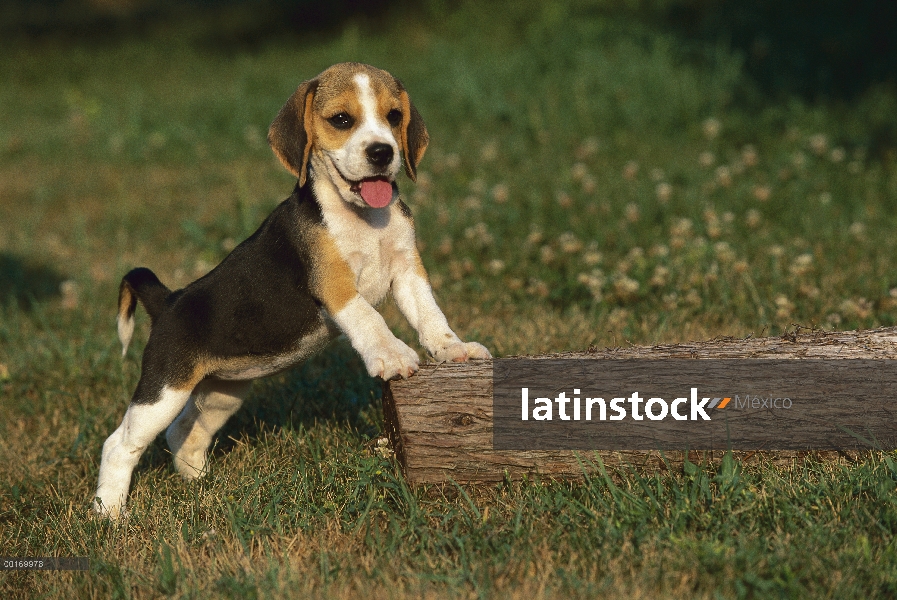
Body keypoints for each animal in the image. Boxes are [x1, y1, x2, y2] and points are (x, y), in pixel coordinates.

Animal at [93, 62, 490, 520]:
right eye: (342, 120)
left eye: (394, 117)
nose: (382, 152)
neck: (363, 217)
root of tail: (170, 300)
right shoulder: (334, 284)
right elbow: (369, 317)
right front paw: (391, 355)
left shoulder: (407, 270)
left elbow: (430, 315)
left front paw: (454, 349)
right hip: (163, 392)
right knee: (120, 445)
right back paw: (109, 513)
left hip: (222, 393)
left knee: (183, 433)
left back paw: (201, 485)